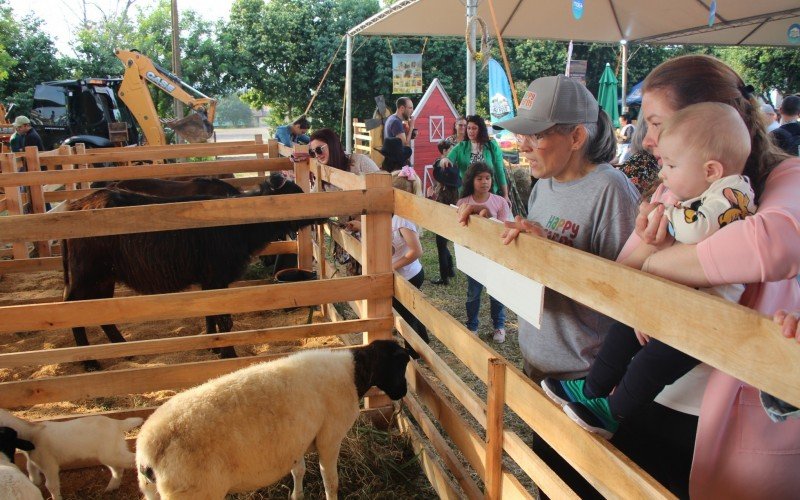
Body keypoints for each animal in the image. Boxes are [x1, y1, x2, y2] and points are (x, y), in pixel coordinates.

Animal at [0, 410, 141, 500]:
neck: (33, 432)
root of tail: (118, 424)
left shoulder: (49, 463)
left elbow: (51, 485)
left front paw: (56, 497)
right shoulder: (35, 458)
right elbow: (31, 469)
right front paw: (35, 481)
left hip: (111, 453)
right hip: (111, 452)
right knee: (118, 469)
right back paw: (111, 487)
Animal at [137, 340, 410, 500]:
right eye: (401, 362)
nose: (404, 391)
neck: (353, 373)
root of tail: (149, 448)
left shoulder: (297, 440)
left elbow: (298, 470)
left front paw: (297, 496)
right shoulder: (329, 439)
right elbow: (331, 482)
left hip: (152, 491)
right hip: (195, 493)